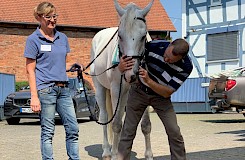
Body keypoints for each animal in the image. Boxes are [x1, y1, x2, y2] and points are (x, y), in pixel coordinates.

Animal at [90, 0, 154, 159]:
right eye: (120, 35)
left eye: (143, 36)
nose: (131, 74)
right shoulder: (116, 90)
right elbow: (116, 124)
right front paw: (115, 155)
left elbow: (145, 125)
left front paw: (148, 155)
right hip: (101, 89)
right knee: (105, 117)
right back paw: (107, 152)